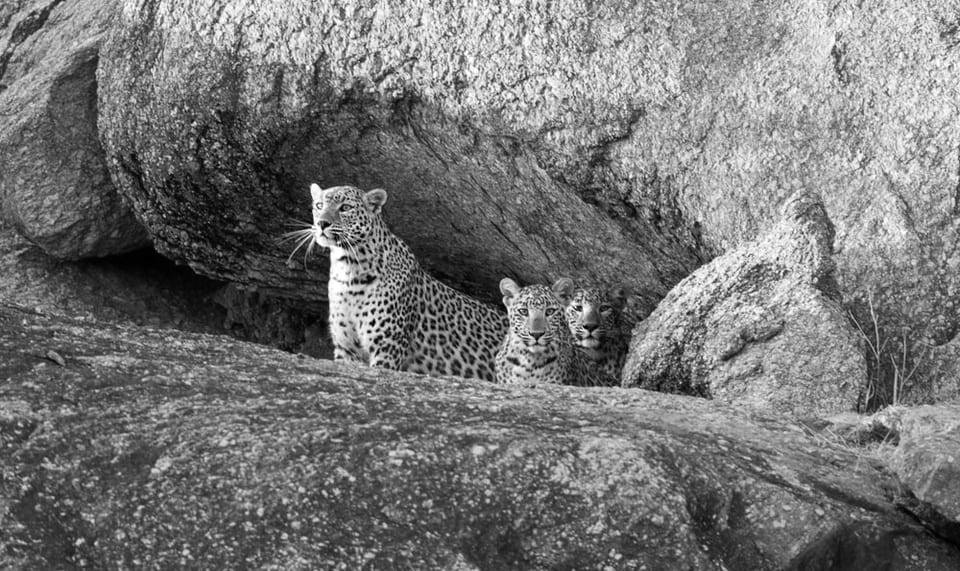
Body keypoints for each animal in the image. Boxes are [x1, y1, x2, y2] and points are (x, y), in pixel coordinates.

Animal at [293, 183, 508, 382]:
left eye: (345, 207)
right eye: (319, 205)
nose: (322, 223)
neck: (348, 269)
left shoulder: (387, 346)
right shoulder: (346, 348)